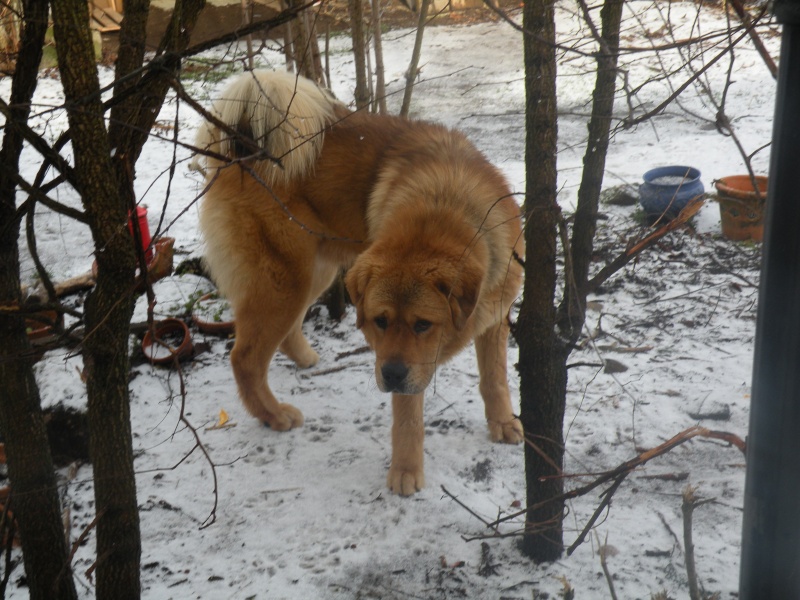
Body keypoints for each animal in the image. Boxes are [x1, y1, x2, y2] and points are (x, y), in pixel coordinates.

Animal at [191, 70, 520, 494]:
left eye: (423, 324)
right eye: (380, 321)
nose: (391, 375)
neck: (444, 207)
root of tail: (243, 146)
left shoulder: (495, 315)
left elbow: (495, 378)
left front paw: (503, 422)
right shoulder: (403, 363)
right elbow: (408, 416)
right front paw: (406, 471)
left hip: (312, 272)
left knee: (281, 333)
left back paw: (304, 359)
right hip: (285, 279)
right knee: (245, 358)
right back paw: (273, 414)